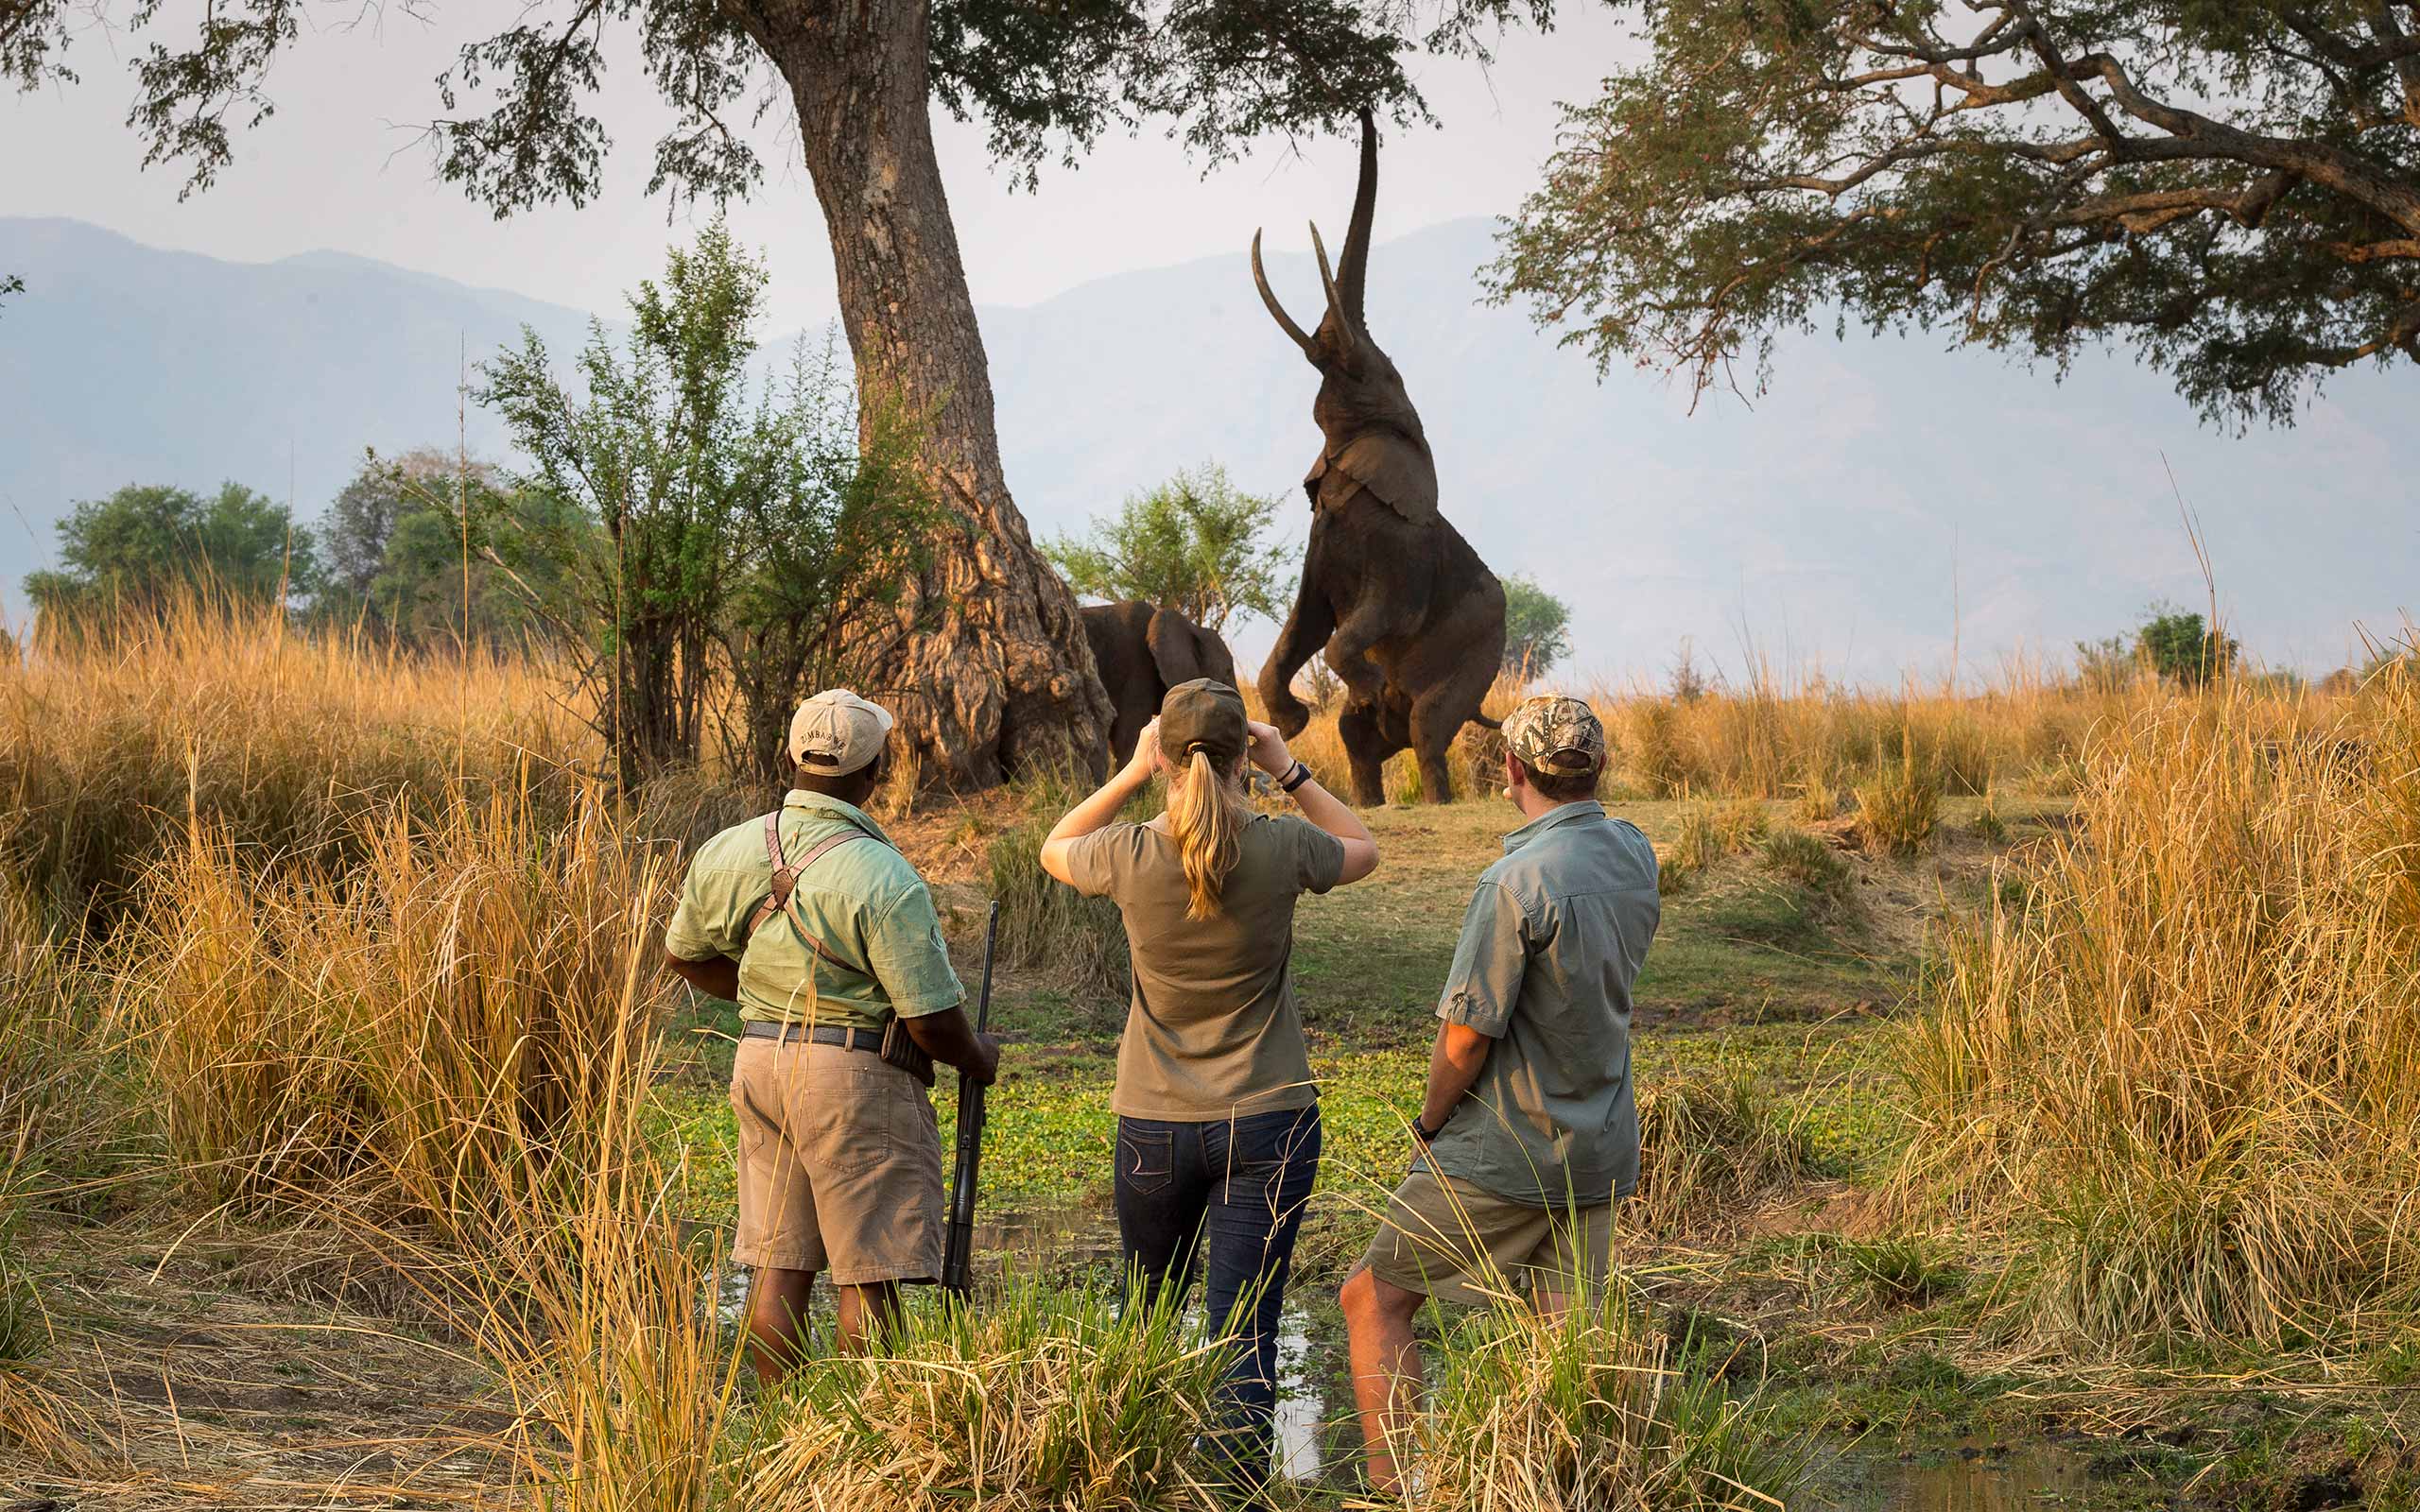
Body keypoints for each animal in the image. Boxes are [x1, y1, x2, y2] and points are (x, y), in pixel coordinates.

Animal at [1258, 112, 1500, 808]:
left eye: (1380, 369)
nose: (1364, 107)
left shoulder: (1401, 554)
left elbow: (1360, 623)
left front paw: (1353, 685)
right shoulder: (1320, 539)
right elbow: (1303, 624)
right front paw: (1292, 719)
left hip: (1480, 654)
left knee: (1428, 726)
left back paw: (1433, 792)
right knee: (1357, 738)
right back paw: (1367, 793)